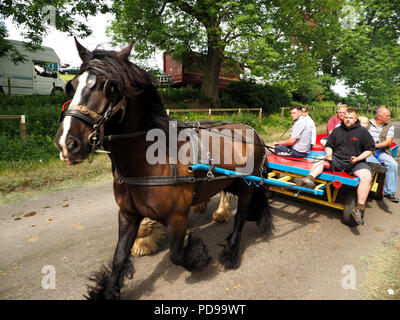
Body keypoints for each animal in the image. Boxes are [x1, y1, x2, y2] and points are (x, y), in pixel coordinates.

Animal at [54, 38, 274, 300]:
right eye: (71, 86)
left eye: (110, 87)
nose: (68, 143)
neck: (149, 161)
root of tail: (252, 130)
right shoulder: (127, 214)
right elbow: (119, 257)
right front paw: (107, 291)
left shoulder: (177, 218)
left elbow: (177, 256)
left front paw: (198, 254)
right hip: (228, 180)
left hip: (247, 185)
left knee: (241, 216)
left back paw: (230, 251)